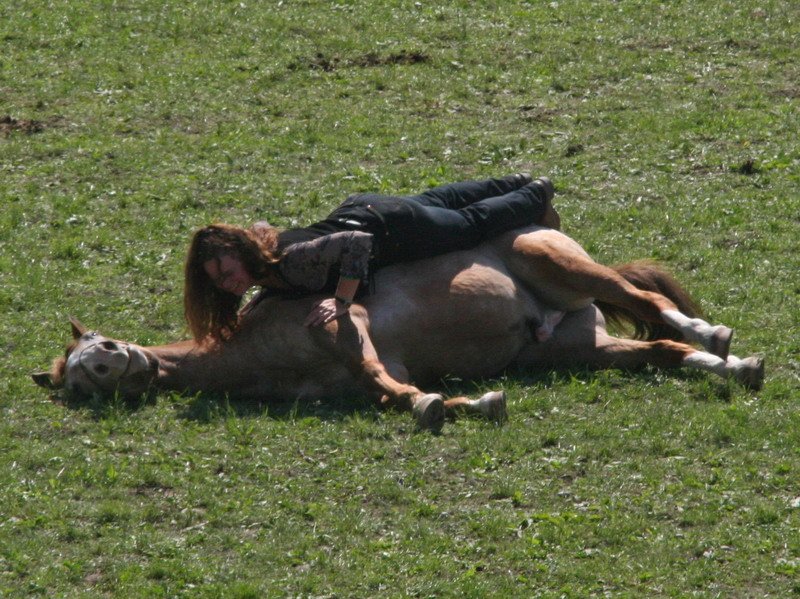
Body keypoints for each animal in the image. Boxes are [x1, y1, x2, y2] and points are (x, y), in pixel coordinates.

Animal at [32, 226, 765, 432]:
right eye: (81, 381)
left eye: (100, 346)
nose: (118, 362)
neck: (252, 349)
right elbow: (387, 390)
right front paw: (469, 401)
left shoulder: (346, 321)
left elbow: (386, 381)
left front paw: (436, 405)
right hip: (577, 349)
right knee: (659, 349)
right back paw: (730, 366)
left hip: (559, 265)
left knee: (645, 297)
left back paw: (716, 335)